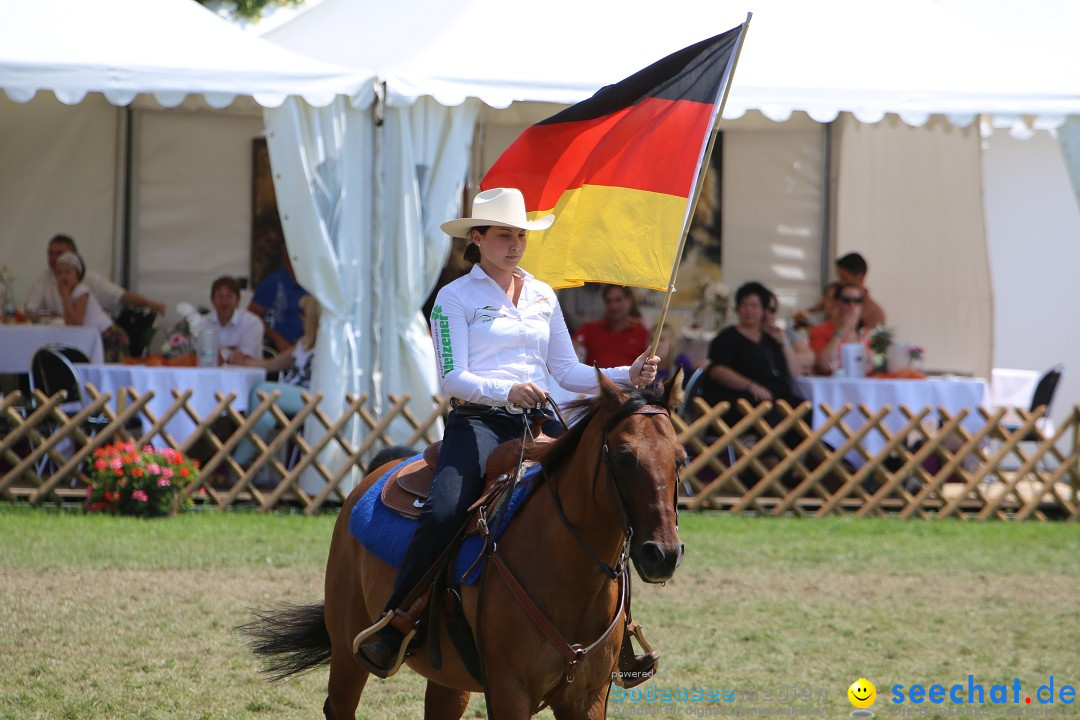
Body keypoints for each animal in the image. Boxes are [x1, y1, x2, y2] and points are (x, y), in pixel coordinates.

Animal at [241, 371, 686, 720]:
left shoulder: (588, 697)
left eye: (680, 458)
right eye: (623, 456)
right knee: (340, 706)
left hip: (449, 677)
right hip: (348, 649)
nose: (662, 554)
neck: (567, 574)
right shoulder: (508, 692)